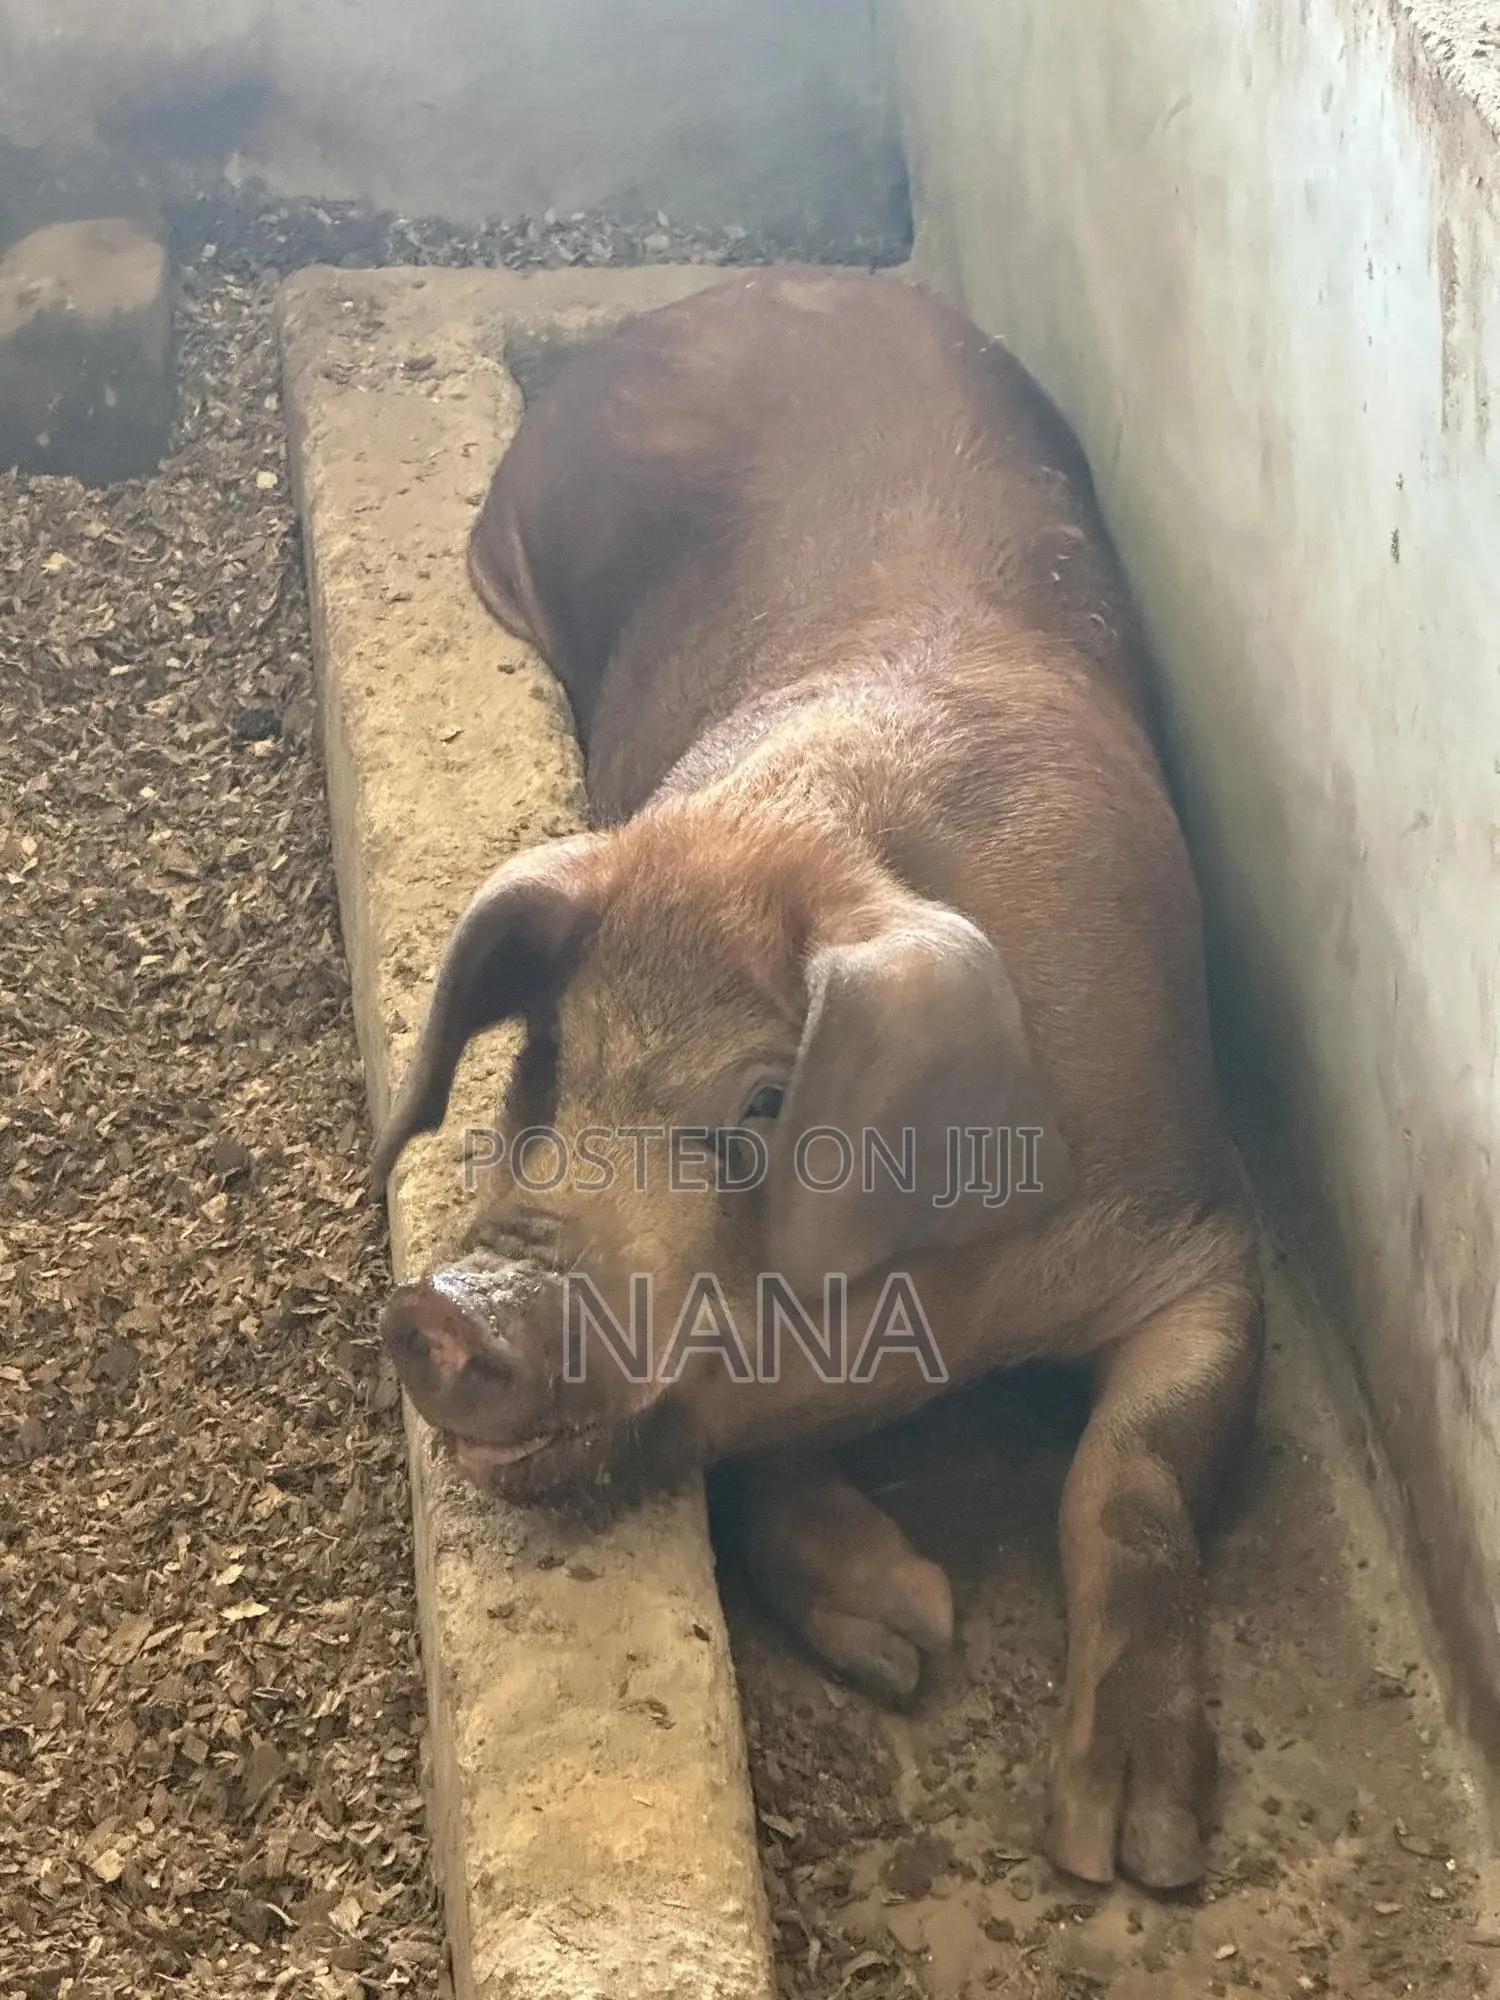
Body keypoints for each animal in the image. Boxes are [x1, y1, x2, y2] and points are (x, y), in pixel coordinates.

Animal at [372, 267, 1264, 1892]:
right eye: (550, 1055)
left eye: (764, 1112)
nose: (447, 1306)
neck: (947, 1310)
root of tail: (702, 296)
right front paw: (908, 1635)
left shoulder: (1205, 1226)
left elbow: (1133, 1475)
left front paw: (1129, 1847)